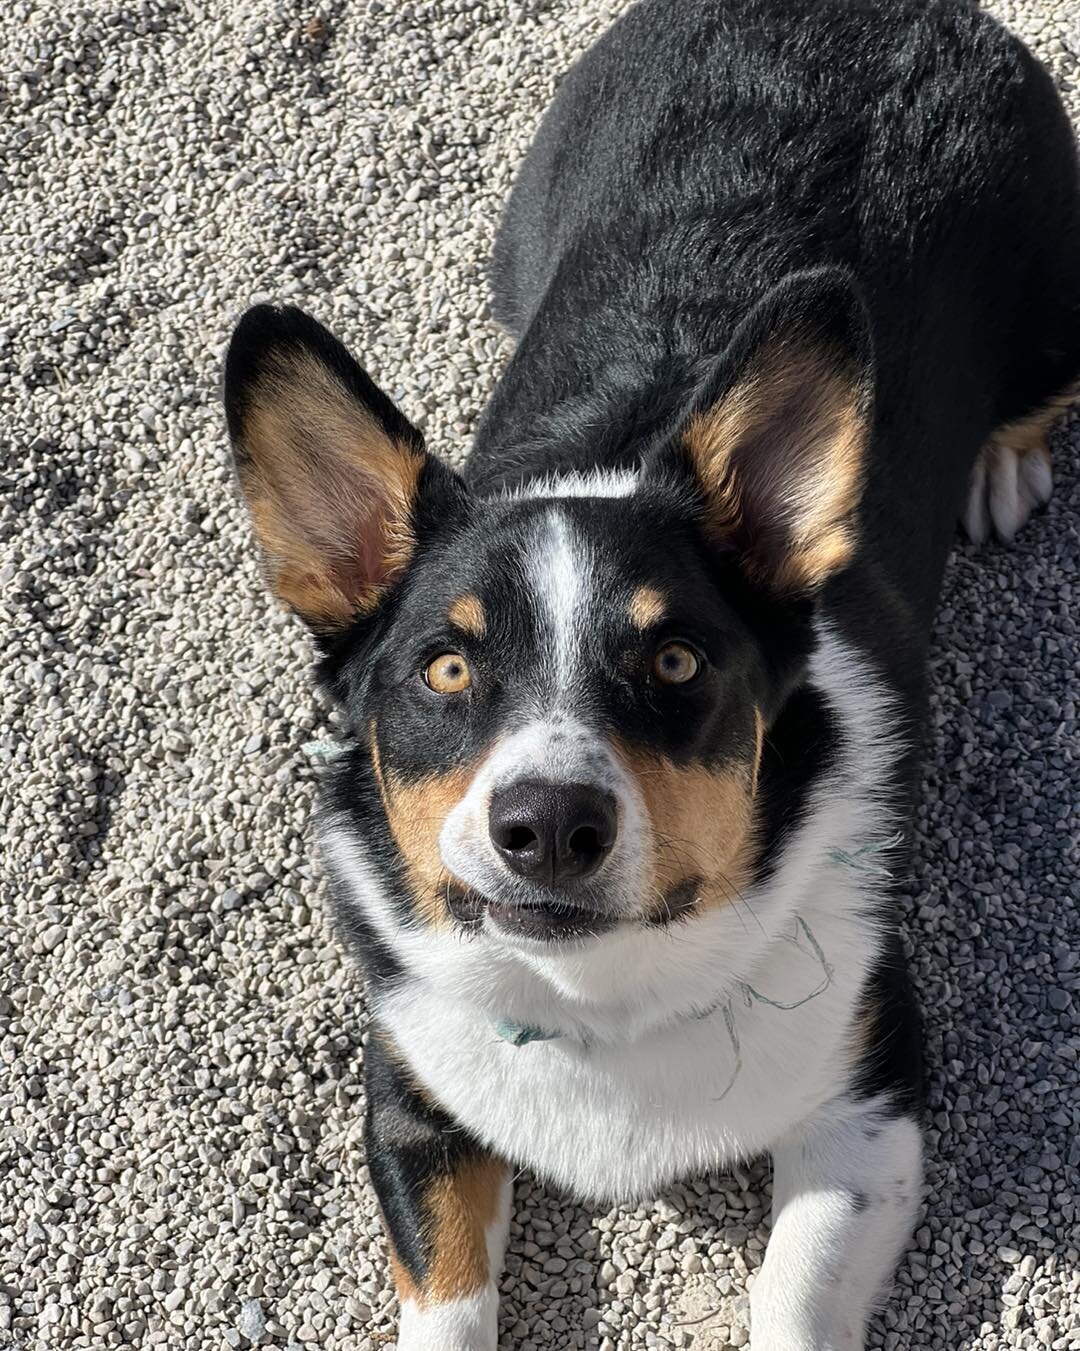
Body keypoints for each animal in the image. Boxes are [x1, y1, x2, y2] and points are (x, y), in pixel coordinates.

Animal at [221, 0, 1080, 1345]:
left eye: (676, 658)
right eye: (446, 669)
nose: (546, 826)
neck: (598, 998)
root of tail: (879, 11)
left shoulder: (869, 1099)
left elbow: (793, 1295)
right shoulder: (410, 1096)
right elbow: (447, 1298)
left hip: (1058, 305)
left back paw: (1003, 467)